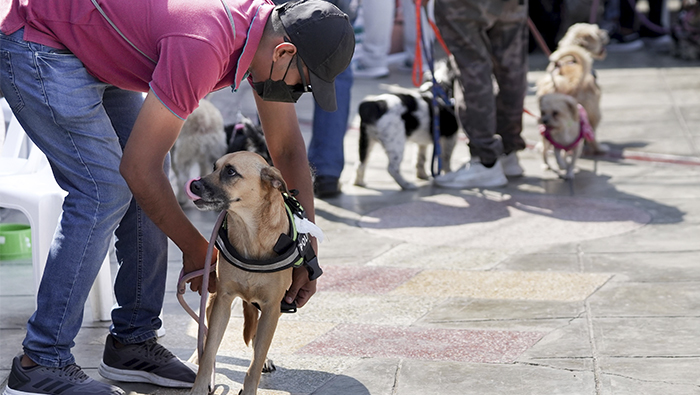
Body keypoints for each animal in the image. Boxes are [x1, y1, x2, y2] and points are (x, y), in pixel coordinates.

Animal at [186, 151, 318, 395]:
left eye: (230, 171)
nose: (194, 185)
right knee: (205, 333)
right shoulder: (222, 301)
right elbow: (209, 350)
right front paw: (199, 386)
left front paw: (249, 388)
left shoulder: (271, 307)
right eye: (214, 167)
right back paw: (194, 358)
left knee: (258, 343)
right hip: (212, 299)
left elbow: (254, 363)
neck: (249, 232)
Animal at [352, 59, 462, 191]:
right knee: (392, 168)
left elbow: (420, 158)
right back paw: (407, 185)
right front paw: (449, 174)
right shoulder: (451, 136)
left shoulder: (422, 142)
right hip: (396, 144)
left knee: (360, 163)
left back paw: (359, 182)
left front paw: (422, 175)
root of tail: (374, 105)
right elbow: (446, 158)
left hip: (366, 140)